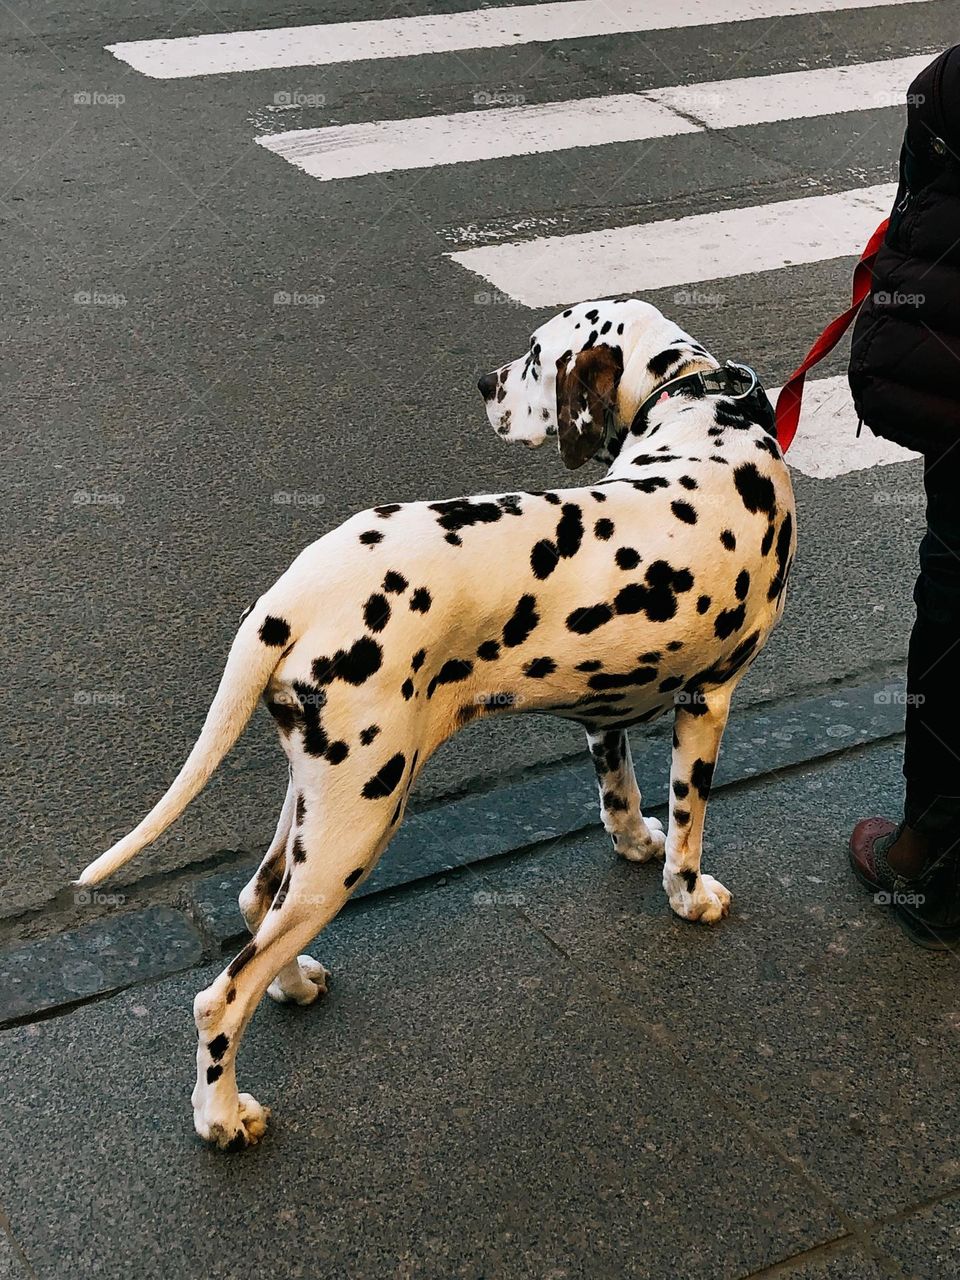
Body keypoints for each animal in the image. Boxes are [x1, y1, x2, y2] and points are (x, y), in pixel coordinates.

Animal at [77, 296, 798, 1152]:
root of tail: (290, 593)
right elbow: (691, 828)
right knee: (221, 995)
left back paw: (294, 985)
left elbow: (619, 793)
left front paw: (633, 842)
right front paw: (688, 898)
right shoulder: (709, 702)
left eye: (534, 355)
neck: (697, 415)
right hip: (359, 826)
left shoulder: (603, 708)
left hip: (321, 803)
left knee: (257, 902)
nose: (484, 381)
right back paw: (221, 1117)